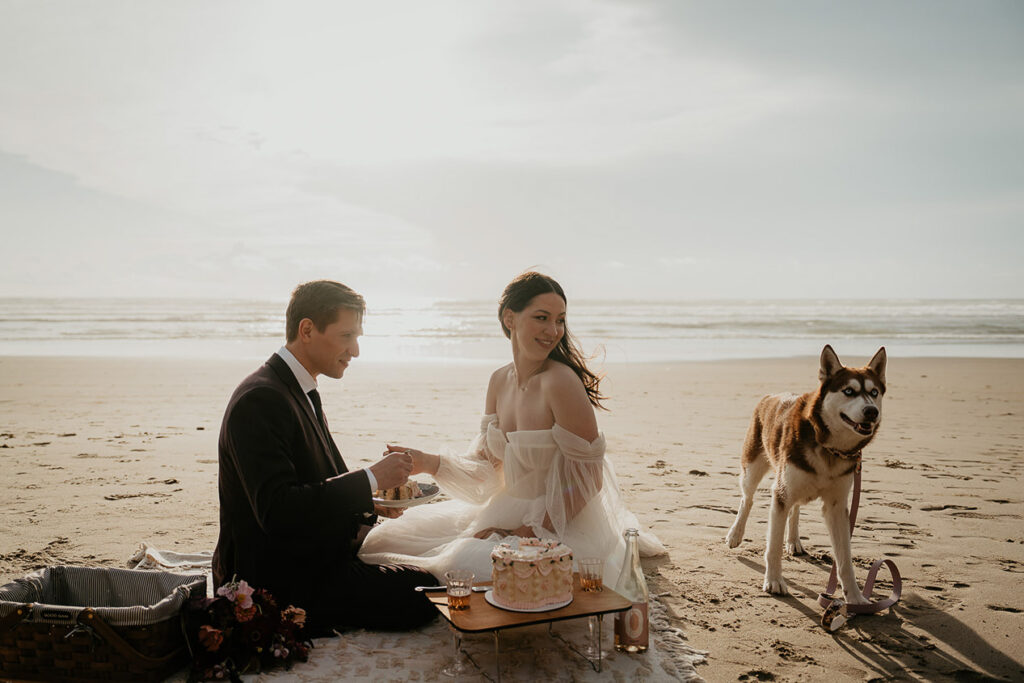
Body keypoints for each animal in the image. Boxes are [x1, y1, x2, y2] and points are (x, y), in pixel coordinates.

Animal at [724, 344, 884, 602]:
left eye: (874, 392)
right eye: (849, 391)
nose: (871, 411)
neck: (829, 448)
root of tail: (770, 396)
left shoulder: (836, 506)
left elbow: (844, 560)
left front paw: (854, 597)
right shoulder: (780, 495)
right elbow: (773, 546)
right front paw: (774, 581)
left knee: (795, 508)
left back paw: (794, 540)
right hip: (753, 469)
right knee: (746, 500)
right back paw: (735, 534)